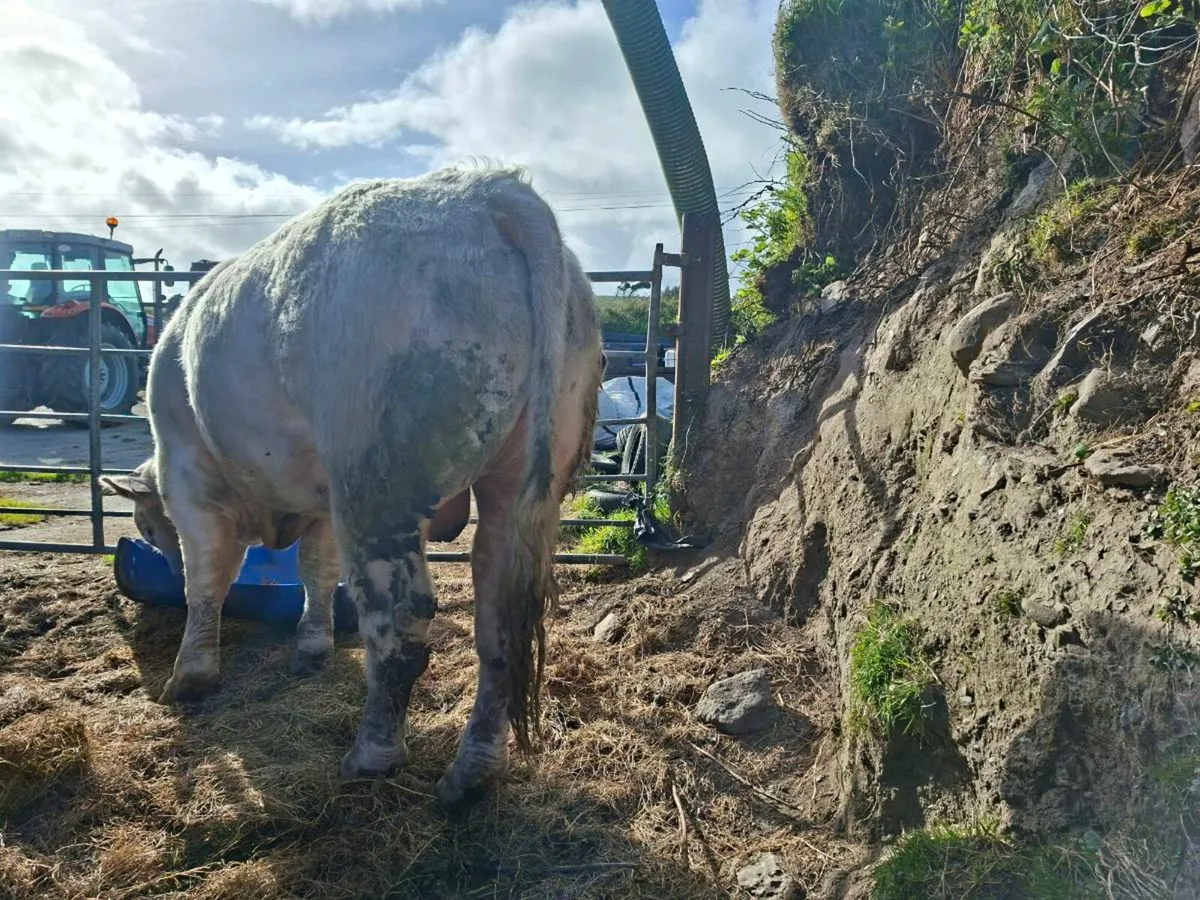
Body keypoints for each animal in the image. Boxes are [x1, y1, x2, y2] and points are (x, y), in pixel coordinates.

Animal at [100, 164, 604, 810]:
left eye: (144, 521)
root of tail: (492, 189)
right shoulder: (320, 504)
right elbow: (317, 570)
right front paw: (311, 647)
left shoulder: (190, 475)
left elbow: (207, 579)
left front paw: (190, 676)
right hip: (515, 492)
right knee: (499, 627)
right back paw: (471, 774)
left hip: (377, 483)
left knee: (401, 628)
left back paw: (372, 757)